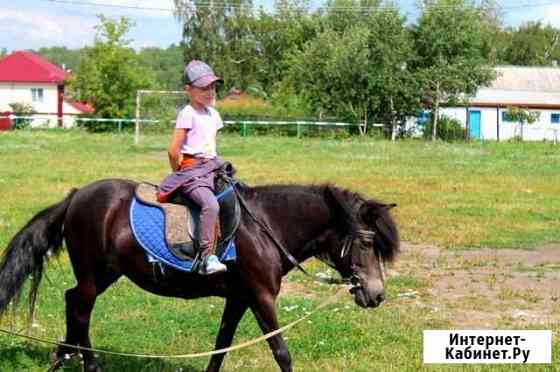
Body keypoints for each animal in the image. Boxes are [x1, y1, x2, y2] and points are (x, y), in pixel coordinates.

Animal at [1, 179, 402, 370]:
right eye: (366, 243)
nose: (376, 294)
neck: (267, 227)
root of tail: (76, 196)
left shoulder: (238, 298)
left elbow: (220, 349)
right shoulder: (261, 297)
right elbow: (282, 353)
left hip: (107, 273)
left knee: (72, 303)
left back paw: (60, 358)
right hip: (91, 272)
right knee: (81, 312)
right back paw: (87, 364)